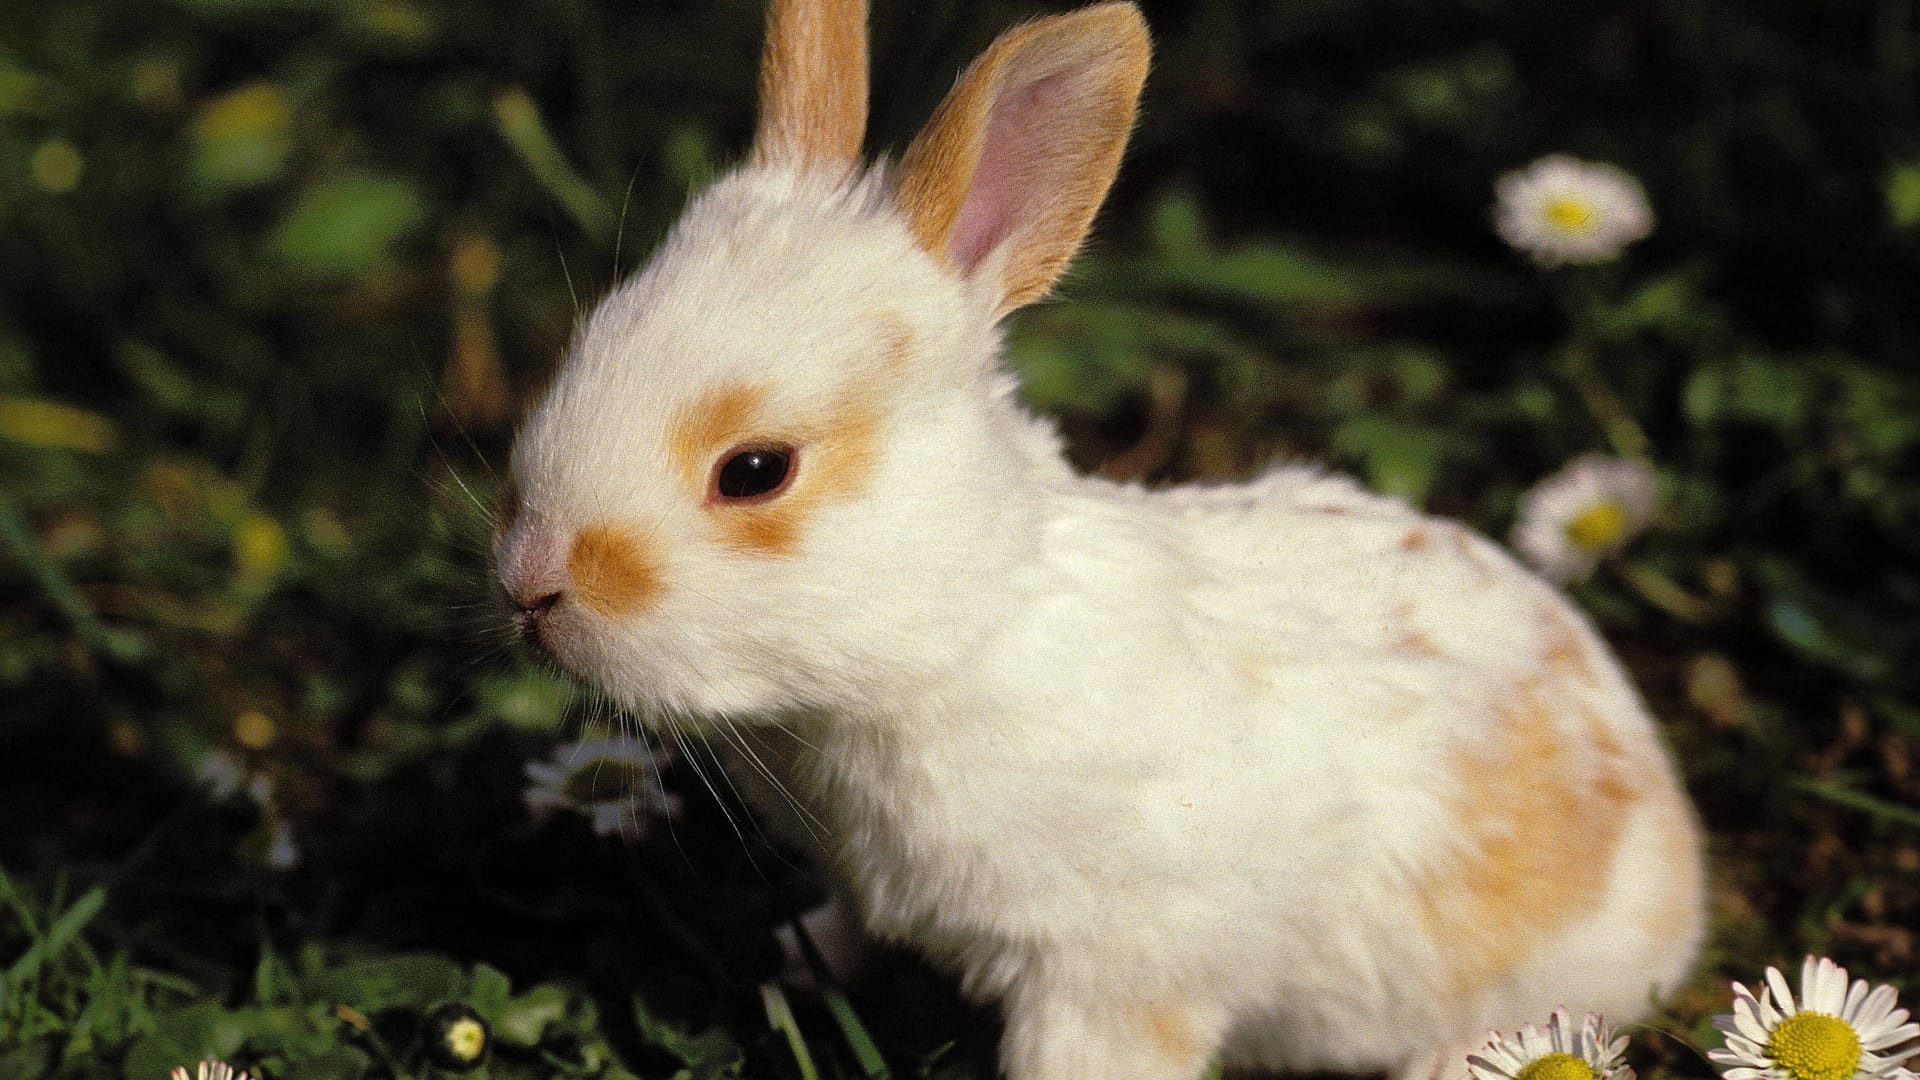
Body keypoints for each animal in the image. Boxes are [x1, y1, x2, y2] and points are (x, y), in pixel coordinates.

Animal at [495, 2, 1712, 1076]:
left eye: (756, 471)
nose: (531, 588)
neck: (959, 639)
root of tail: (1672, 830)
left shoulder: (1115, 975)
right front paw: (793, 967)